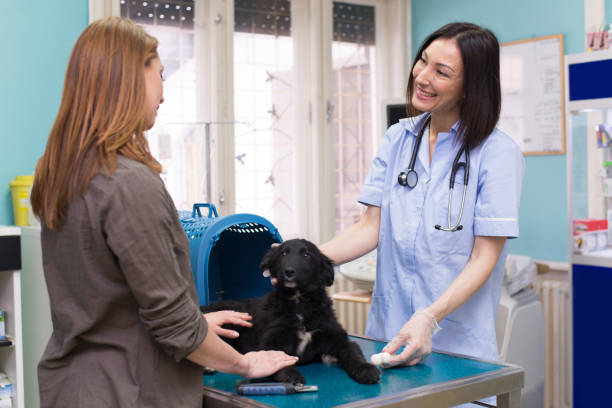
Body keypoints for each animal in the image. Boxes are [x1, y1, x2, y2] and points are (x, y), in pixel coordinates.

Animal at [201, 237, 380, 384]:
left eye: (307, 254)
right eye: (283, 253)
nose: (288, 271)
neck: (299, 303)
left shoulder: (338, 338)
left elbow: (353, 351)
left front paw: (366, 369)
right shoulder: (272, 341)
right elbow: (279, 358)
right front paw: (291, 375)